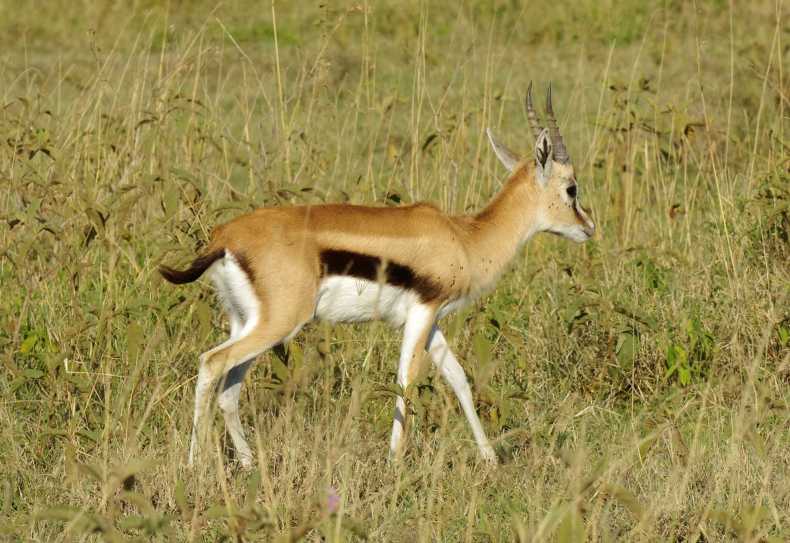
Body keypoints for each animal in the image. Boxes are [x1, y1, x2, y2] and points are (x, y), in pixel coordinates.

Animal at [160, 83, 595, 468]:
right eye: (572, 189)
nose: (589, 227)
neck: (464, 238)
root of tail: (225, 237)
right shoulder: (421, 314)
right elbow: (406, 382)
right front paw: (393, 462)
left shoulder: (431, 319)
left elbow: (459, 379)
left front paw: (489, 459)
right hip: (279, 323)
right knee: (211, 363)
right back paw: (195, 464)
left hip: (247, 322)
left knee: (228, 389)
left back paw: (249, 463)